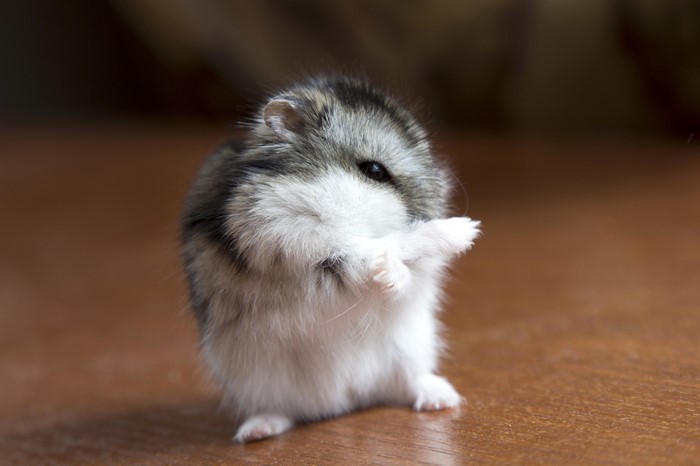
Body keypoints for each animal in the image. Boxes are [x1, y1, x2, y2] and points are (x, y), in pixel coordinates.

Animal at [181, 76, 481, 443]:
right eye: (374, 170)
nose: (435, 209)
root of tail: (345, 401)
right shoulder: (294, 243)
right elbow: (382, 244)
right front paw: (464, 230)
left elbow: (403, 261)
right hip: (256, 382)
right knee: (283, 411)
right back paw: (255, 433)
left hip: (412, 346)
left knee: (409, 382)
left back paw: (444, 399)